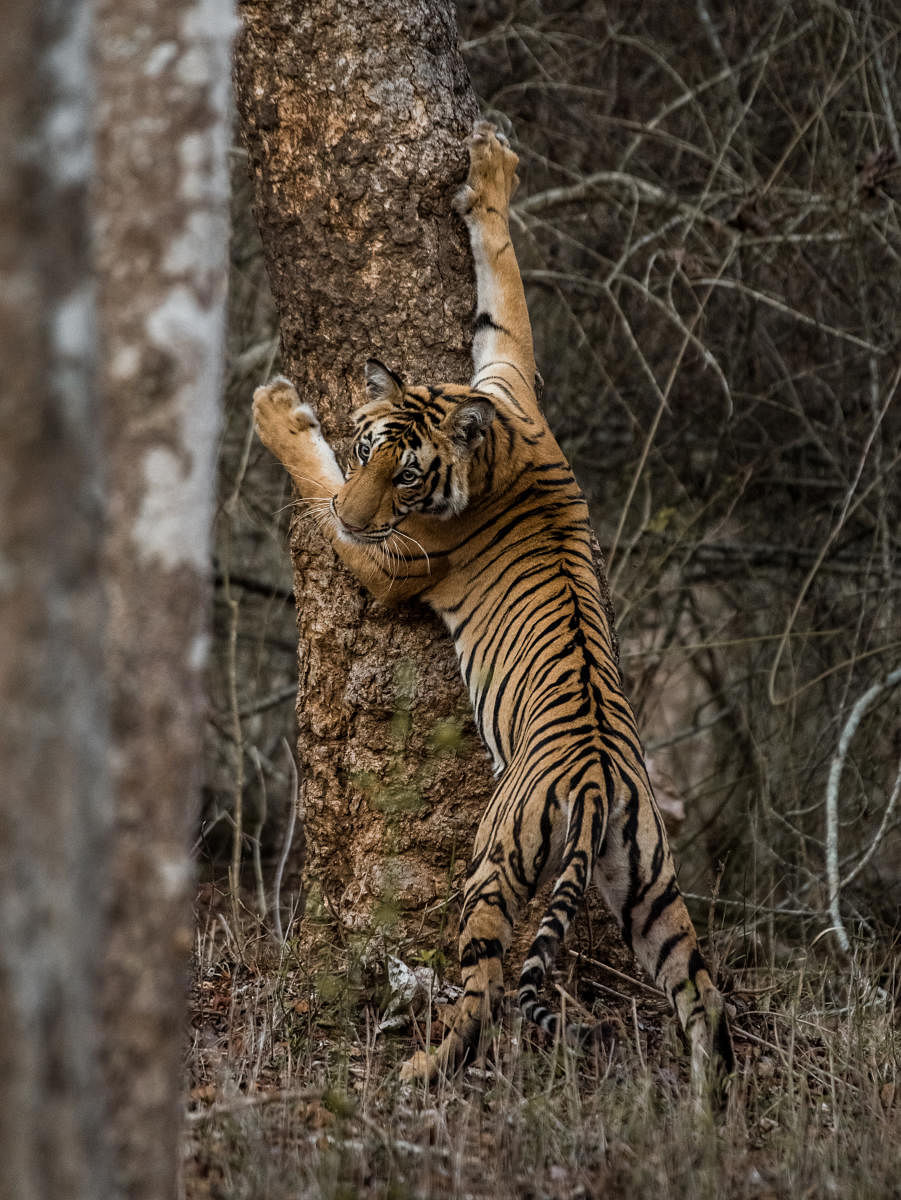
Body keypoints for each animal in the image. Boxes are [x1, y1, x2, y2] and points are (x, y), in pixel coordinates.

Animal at [251, 121, 734, 1099]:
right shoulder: (507, 366)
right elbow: (503, 288)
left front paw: (277, 410)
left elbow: (318, 491)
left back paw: (418, 1070)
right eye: (370, 445)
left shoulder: (389, 558)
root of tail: (596, 785)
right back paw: (711, 1106)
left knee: (483, 996)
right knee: (701, 994)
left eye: (400, 475)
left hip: (494, 863)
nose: (366, 501)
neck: (494, 444)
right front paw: (489, 172)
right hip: (651, 889)